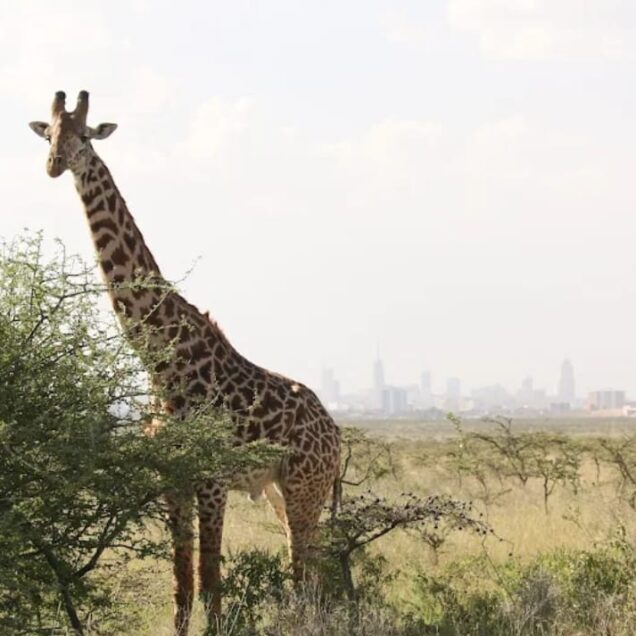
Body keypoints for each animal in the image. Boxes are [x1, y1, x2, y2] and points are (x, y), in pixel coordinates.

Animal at [29, 90, 340, 636]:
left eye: (83, 135)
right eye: (47, 134)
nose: (54, 164)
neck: (163, 363)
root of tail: (336, 433)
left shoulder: (211, 478)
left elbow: (212, 580)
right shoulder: (170, 479)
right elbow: (182, 586)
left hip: (307, 487)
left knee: (304, 572)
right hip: (283, 491)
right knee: (309, 566)